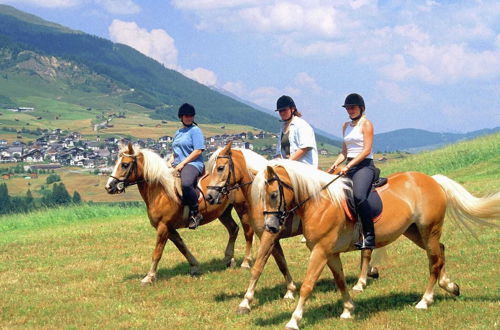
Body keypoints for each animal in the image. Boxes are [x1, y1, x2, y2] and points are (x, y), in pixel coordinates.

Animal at [104, 142, 254, 284]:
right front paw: (194, 266)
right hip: (223, 212)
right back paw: (229, 260)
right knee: (233, 229)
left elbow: (157, 252)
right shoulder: (169, 228)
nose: (109, 187)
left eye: (124, 165)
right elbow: (181, 246)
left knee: (248, 232)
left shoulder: (163, 227)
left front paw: (149, 277)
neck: (160, 192)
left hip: (242, 208)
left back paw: (245, 262)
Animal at [205, 142, 384, 314]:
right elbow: (282, 264)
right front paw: (290, 291)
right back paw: (371, 272)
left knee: (367, 251)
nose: (209, 197)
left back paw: (361, 282)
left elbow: (258, 267)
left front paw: (245, 302)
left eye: (220, 168)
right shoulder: (272, 236)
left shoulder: (268, 236)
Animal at [254, 159, 500, 328]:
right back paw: (450, 286)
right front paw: (348, 310)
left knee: (434, 261)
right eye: (262, 196)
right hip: (415, 232)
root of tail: (433, 180)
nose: (271, 227)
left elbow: (307, 285)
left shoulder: (320, 251)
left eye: (274, 194)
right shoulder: (331, 253)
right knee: (439, 252)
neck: (320, 202)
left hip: (429, 230)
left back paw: (425, 300)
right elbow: (340, 281)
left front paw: (293, 320)